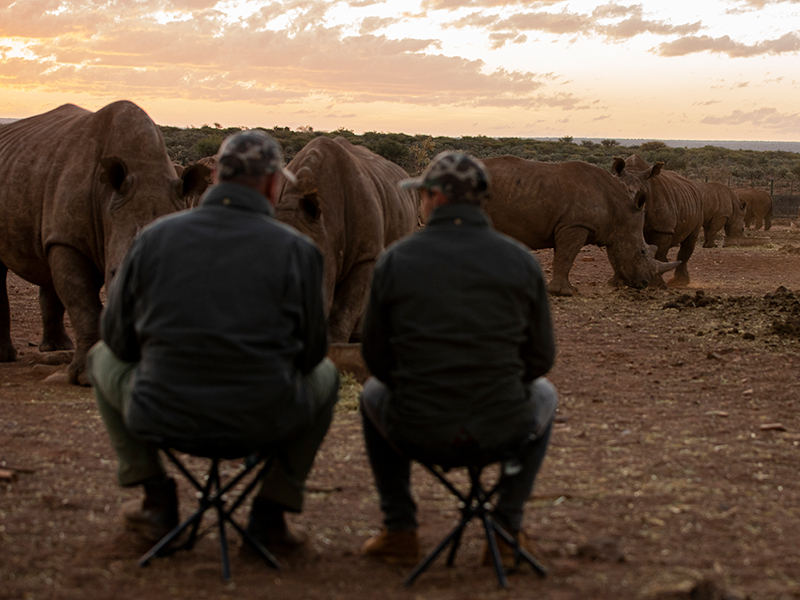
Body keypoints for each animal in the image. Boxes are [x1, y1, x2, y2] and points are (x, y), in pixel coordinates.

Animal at [0, 101, 209, 384]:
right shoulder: (69, 241)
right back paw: (7, 357)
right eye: (113, 272)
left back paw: (56, 349)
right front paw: (86, 378)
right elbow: (84, 305)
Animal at [482, 155, 680, 296]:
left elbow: (562, 257)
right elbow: (566, 257)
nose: (644, 283)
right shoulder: (576, 225)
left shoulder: (567, 226)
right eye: (642, 252)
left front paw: (570, 290)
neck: (619, 212)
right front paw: (564, 293)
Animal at [608, 154, 704, 288]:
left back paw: (678, 282)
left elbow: (660, 251)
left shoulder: (662, 229)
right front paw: (616, 283)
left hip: (699, 204)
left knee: (690, 240)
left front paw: (656, 285)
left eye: (642, 198)